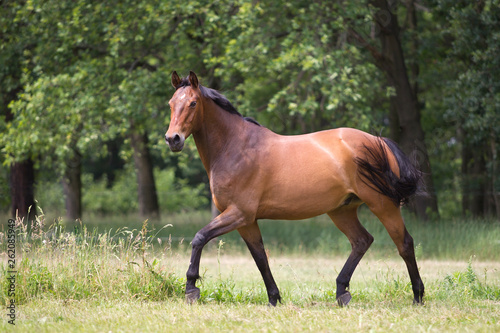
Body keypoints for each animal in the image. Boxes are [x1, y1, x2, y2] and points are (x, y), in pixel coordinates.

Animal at [166, 70, 424, 306]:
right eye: (170, 103)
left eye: (192, 103)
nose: (173, 139)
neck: (236, 147)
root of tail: (380, 142)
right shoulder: (247, 221)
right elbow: (260, 258)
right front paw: (274, 298)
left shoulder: (239, 213)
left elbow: (200, 237)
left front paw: (191, 289)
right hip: (342, 210)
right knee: (362, 241)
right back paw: (342, 292)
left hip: (382, 204)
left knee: (404, 244)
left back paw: (418, 296)